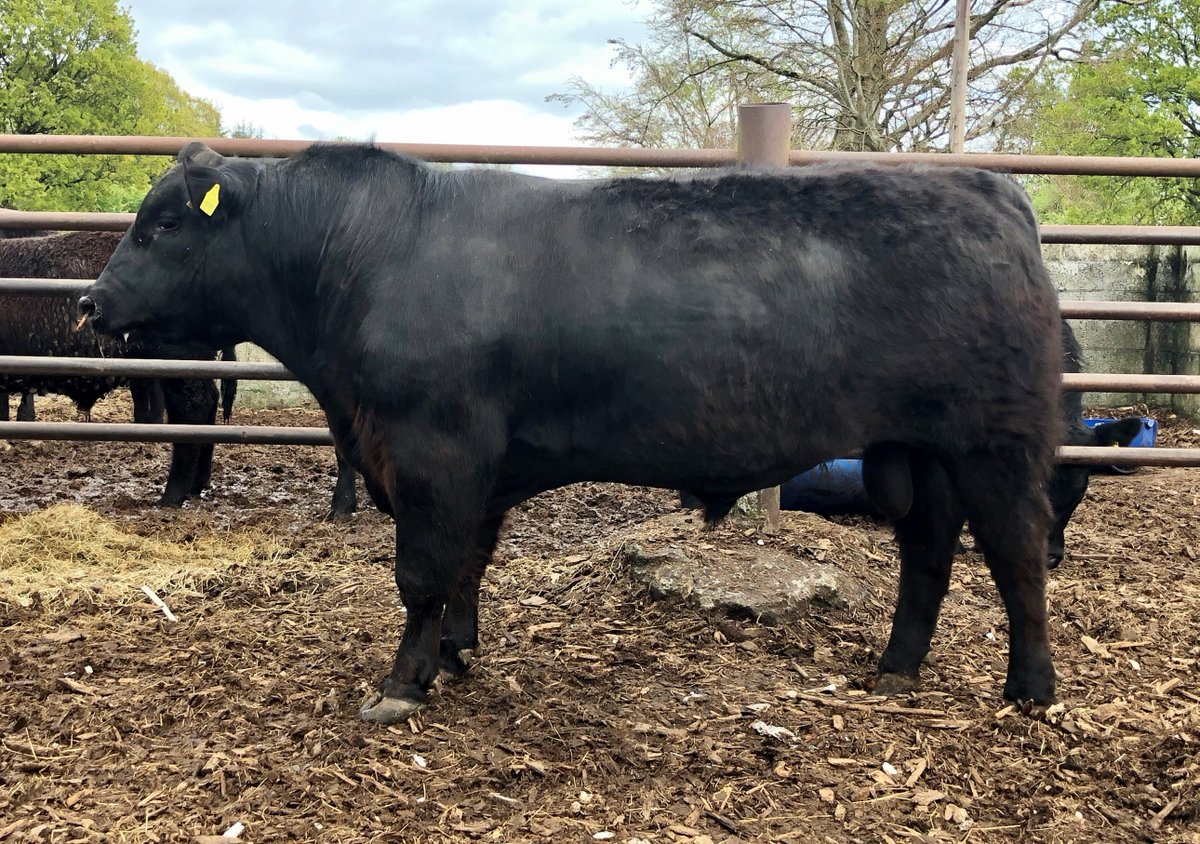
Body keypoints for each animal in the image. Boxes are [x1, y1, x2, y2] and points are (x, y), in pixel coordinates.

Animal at [82, 142, 1063, 723]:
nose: (91, 301)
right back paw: (896, 668)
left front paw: (399, 686)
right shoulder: (471, 469)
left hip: (997, 445)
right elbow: (466, 567)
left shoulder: (433, 453)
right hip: (920, 450)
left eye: (162, 222)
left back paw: (1032, 691)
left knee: (1017, 556)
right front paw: (454, 654)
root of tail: (991, 189)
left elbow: (421, 573)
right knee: (928, 551)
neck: (364, 255)